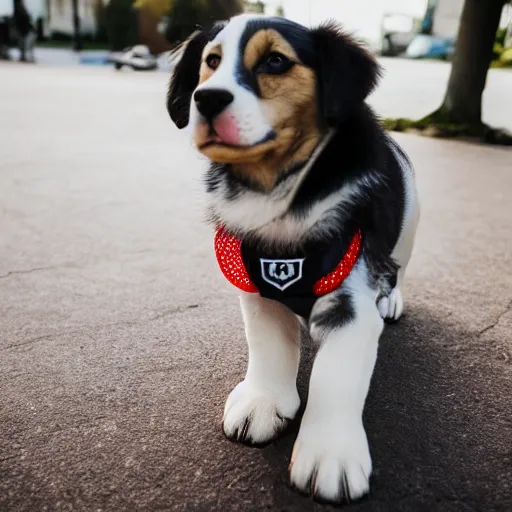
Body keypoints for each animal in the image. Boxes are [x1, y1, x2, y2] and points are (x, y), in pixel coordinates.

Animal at [166, 15, 418, 504]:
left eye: (276, 61)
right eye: (211, 61)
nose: (206, 99)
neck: (279, 191)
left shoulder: (351, 304)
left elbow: (335, 378)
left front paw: (329, 453)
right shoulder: (257, 286)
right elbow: (268, 347)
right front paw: (263, 401)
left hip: (409, 224)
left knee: (396, 268)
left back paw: (391, 297)